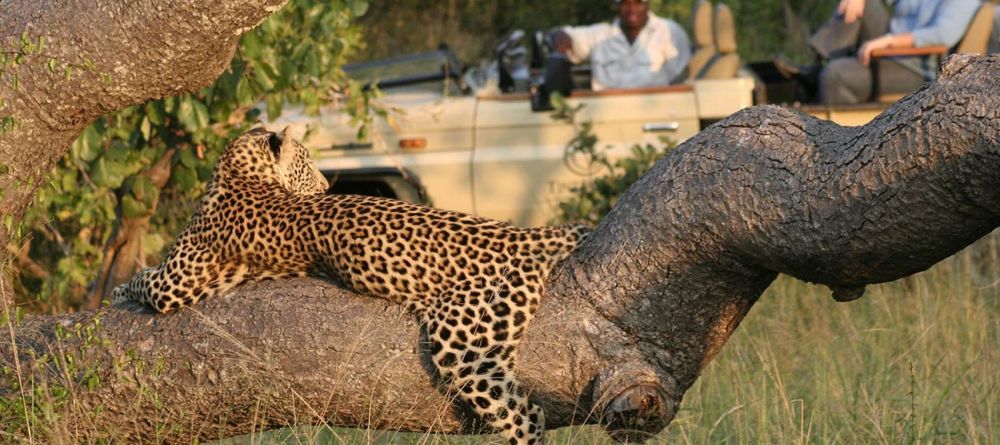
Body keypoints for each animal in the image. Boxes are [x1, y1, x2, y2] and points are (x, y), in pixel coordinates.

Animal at [112, 123, 588, 442]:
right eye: (307, 163)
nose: (326, 184)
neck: (243, 172)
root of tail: (524, 233)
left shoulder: (177, 281)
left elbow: (141, 279)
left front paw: (117, 291)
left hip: (463, 345)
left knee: (527, 417)